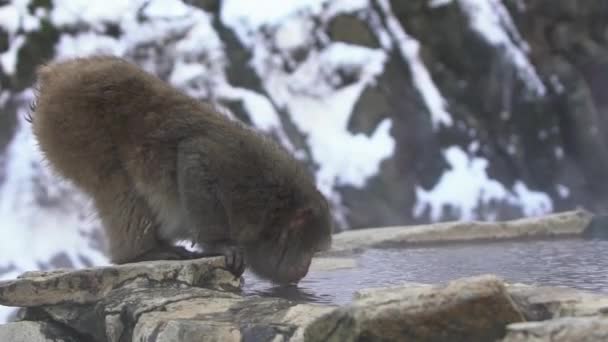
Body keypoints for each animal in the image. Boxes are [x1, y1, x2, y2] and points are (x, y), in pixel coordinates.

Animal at [29, 56, 332, 284]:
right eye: (311, 249)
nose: (304, 269)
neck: (272, 209)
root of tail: (56, 74)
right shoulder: (238, 175)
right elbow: (193, 157)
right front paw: (219, 245)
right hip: (72, 121)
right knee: (116, 183)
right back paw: (141, 253)